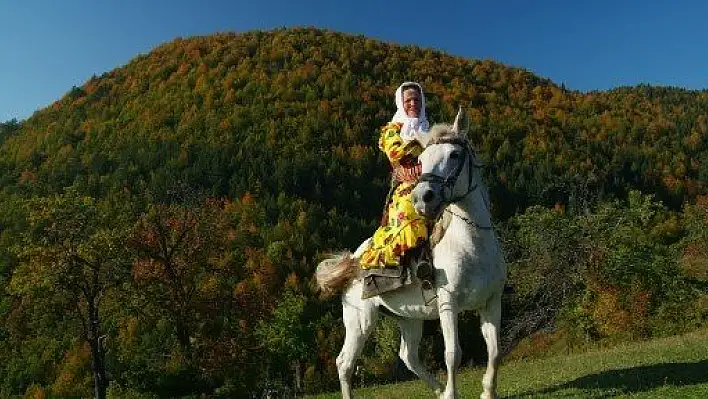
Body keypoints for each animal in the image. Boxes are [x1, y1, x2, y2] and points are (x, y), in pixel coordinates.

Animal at [316, 110, 508, 399]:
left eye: (454, 154)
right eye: (421, 159)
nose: (423, 197)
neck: (472, 247)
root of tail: (353, 261)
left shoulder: (491, 302)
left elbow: (494, 350)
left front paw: (487, 393)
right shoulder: (448, 304)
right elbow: (452, 354)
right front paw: (451, 394)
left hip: (409, 318)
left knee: (408, 356)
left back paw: (438, 389)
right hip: (360, 320)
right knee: (345, 363)